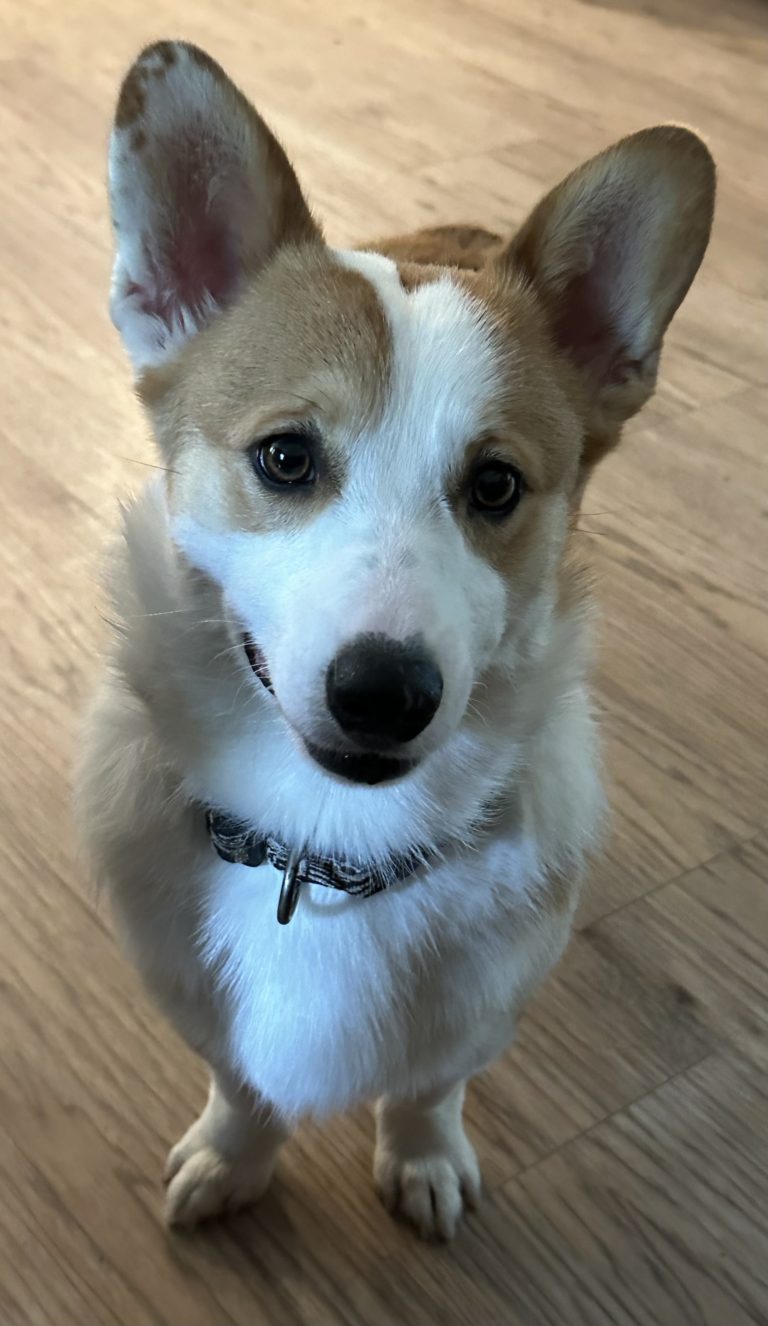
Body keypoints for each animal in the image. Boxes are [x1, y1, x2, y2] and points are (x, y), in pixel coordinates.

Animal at [76, 41, 716, 1241]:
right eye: (284, 458)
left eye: (496, 485)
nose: (384, 694)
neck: (327, 841)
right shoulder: (192, 998)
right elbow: (241, 1084)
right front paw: (232, 1159)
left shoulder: (481, 1005)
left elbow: (428, 1087)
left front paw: (423, 1162)